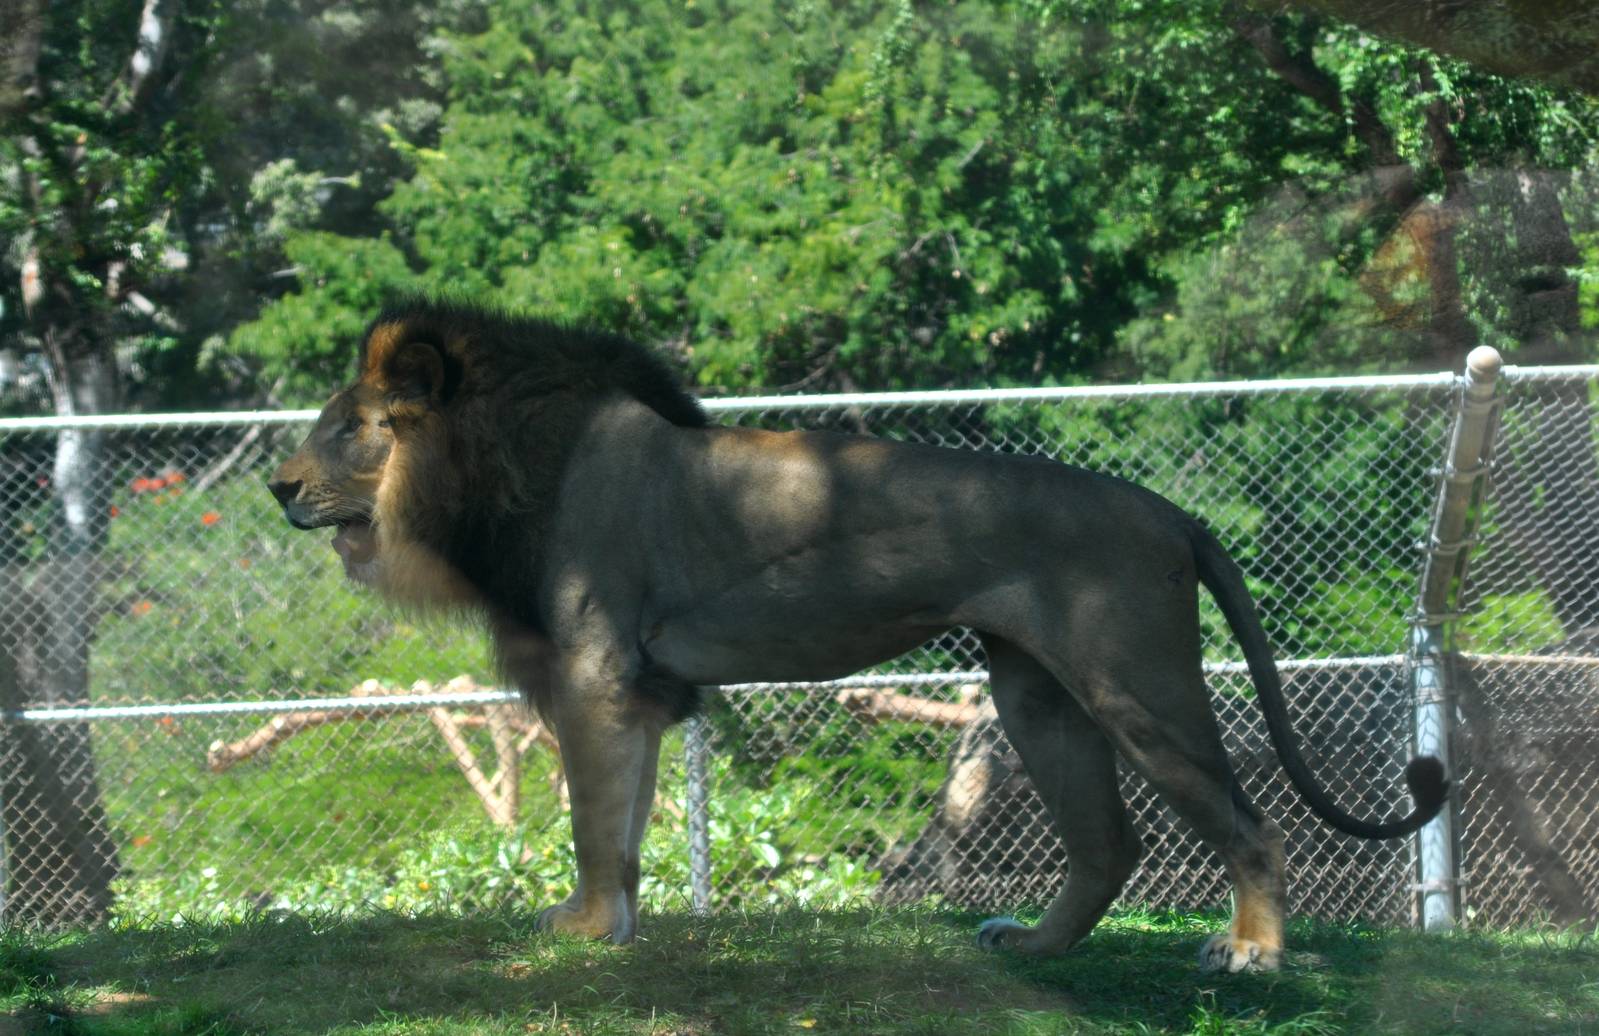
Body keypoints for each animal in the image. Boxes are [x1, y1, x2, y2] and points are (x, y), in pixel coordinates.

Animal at [269, 300, 1446, 972]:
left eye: (347, 430)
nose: (277, 486)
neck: (490, 473)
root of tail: (1172, 511)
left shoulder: (597, 674)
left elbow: (597, 824)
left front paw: (584, 929)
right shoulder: (638, 692)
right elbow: (631, 822)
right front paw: (616, 925)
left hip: (1134, 682)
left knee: (1252, 824)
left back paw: (1251, 954)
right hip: (1035, 693)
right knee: (1109, 843)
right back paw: (1037, 946)